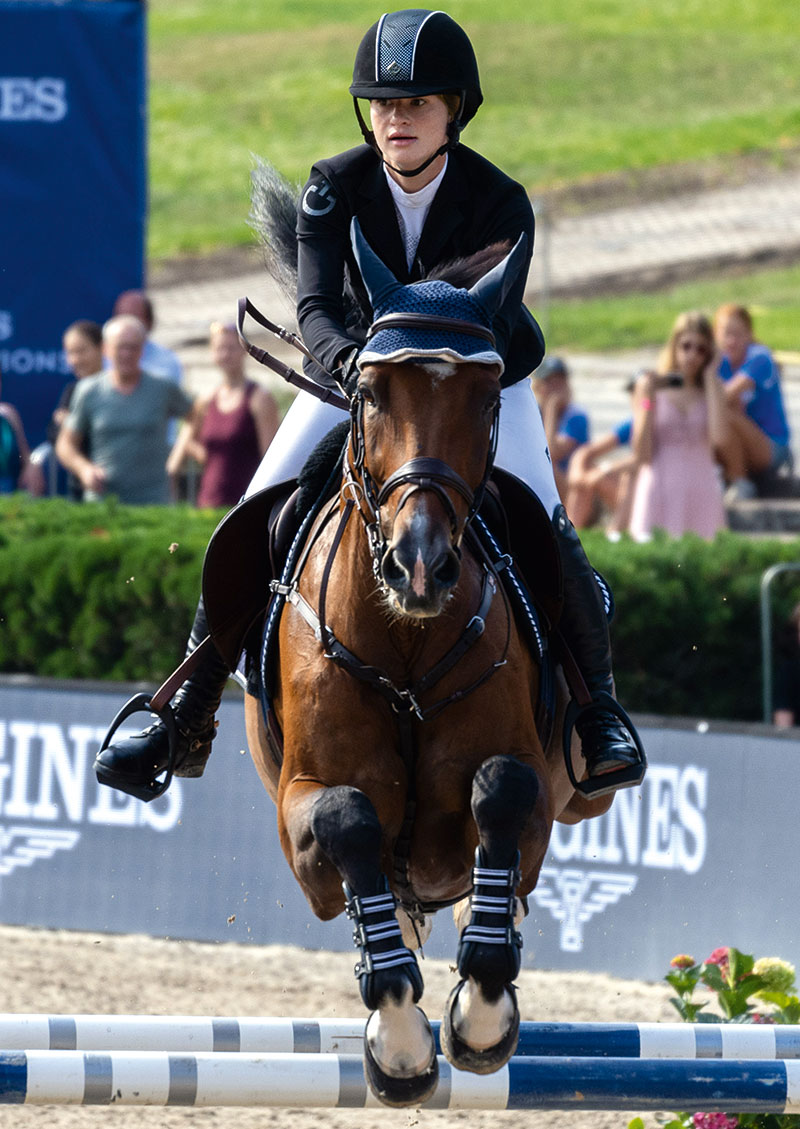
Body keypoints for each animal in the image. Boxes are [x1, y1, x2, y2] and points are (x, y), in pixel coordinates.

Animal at [239, 222, 613, 1110]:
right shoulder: (300, 813)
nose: (421, 566)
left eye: (487, 400)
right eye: (372, 392)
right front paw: (403, 1044)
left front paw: (480, 1014)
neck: (404, 641)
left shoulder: (528, 790)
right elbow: (347, 819)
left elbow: (502, 792)